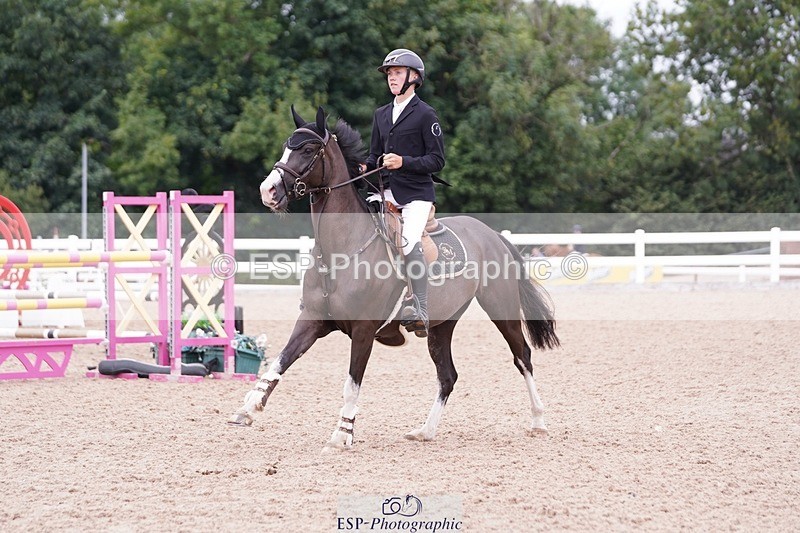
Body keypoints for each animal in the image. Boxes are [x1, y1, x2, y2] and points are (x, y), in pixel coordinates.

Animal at [228, 106, 560, 449]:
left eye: (307, 150)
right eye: (286, 146)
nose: (268, 191)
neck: (340, 251)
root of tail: (492, 234)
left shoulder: (363, 331)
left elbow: (352, 384)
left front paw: (342, 433)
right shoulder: (313, 320)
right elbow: (279, 362)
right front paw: (248, 408)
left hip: (500, 308)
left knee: (522, 356)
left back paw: (538, 421)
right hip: (442, 323)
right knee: (448, 375)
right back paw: (424, 431)